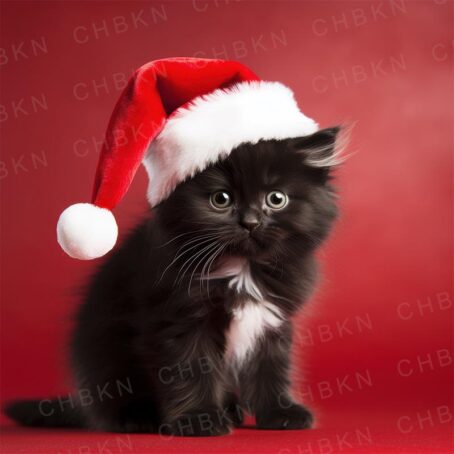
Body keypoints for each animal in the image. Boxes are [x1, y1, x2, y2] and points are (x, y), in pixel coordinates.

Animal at [6, 127, 340, 436]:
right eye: (221, 199)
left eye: (276, 199)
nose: (251, 222)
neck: (241, 270)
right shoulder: (178, 319)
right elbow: (190, 369)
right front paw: (199, 420)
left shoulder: (271, 320)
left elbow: (270, 369)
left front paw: (281, 413)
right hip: (106, 361)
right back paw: (136, 419)